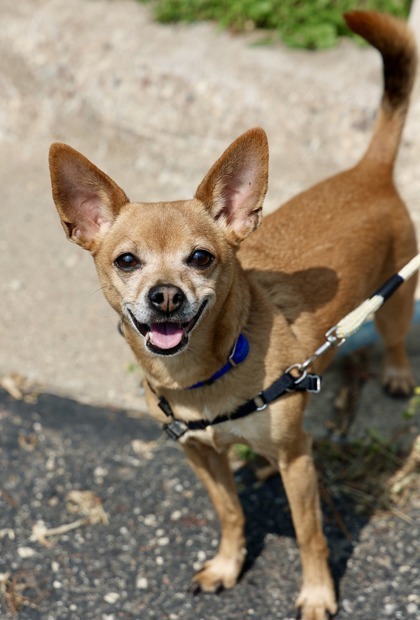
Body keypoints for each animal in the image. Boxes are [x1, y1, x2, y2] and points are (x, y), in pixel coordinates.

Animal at [49, 10, 416, 620]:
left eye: (201, 258)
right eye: (126, 261)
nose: (165, 296)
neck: (206, 373)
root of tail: (370, 171)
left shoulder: (299, 462)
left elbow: (310, 534)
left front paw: (318, 593)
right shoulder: (201, 456)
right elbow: (231, 512)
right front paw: (227, 565)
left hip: (396, 298)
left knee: (393, 339)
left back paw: (396, 374)